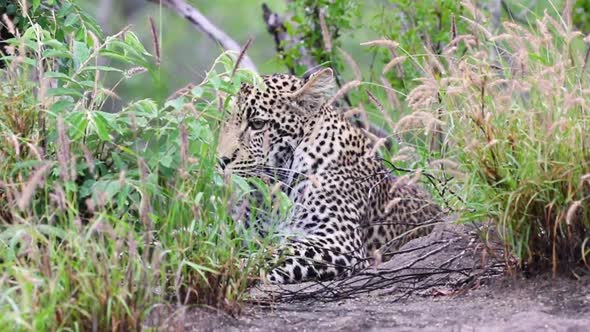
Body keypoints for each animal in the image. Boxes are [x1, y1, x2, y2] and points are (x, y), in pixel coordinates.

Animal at [217, 68, 444, 284]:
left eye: (257, 124)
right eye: (223, 120)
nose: (220, 160)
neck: (272, 193)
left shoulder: (338, 240)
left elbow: (277, 253)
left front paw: (234, 269)